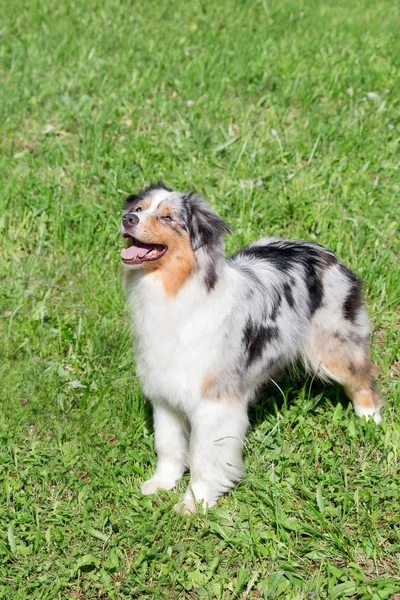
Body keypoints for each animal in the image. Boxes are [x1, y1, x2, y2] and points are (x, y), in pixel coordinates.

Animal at [120, 180, 382, 512]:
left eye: (167, 217)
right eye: (139, 209)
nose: (127, 219)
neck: (176, 291)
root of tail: (321, 250)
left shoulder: (214, 402)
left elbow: (204, 458)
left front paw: (195, 502)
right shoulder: (164, 393)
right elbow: (167, 444)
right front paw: (162, 483)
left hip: (333, 344)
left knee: (362, 378)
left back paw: (369, 420)